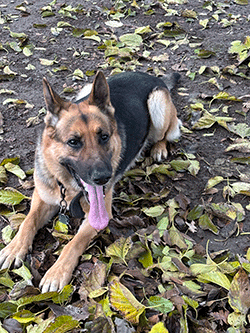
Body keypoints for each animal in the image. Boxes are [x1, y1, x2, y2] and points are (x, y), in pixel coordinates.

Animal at [0, 69, 181, 290]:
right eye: (73, 142)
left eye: (104, 137)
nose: (104, 178)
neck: (67, 187)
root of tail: (152, 76)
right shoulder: (42, 196)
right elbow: (28, 221)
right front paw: (14, 248)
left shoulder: (98, 218)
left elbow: (73, 243)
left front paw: (57, 273)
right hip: (86, 89)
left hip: (157, 103)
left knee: (165, 135)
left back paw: (159, 148)